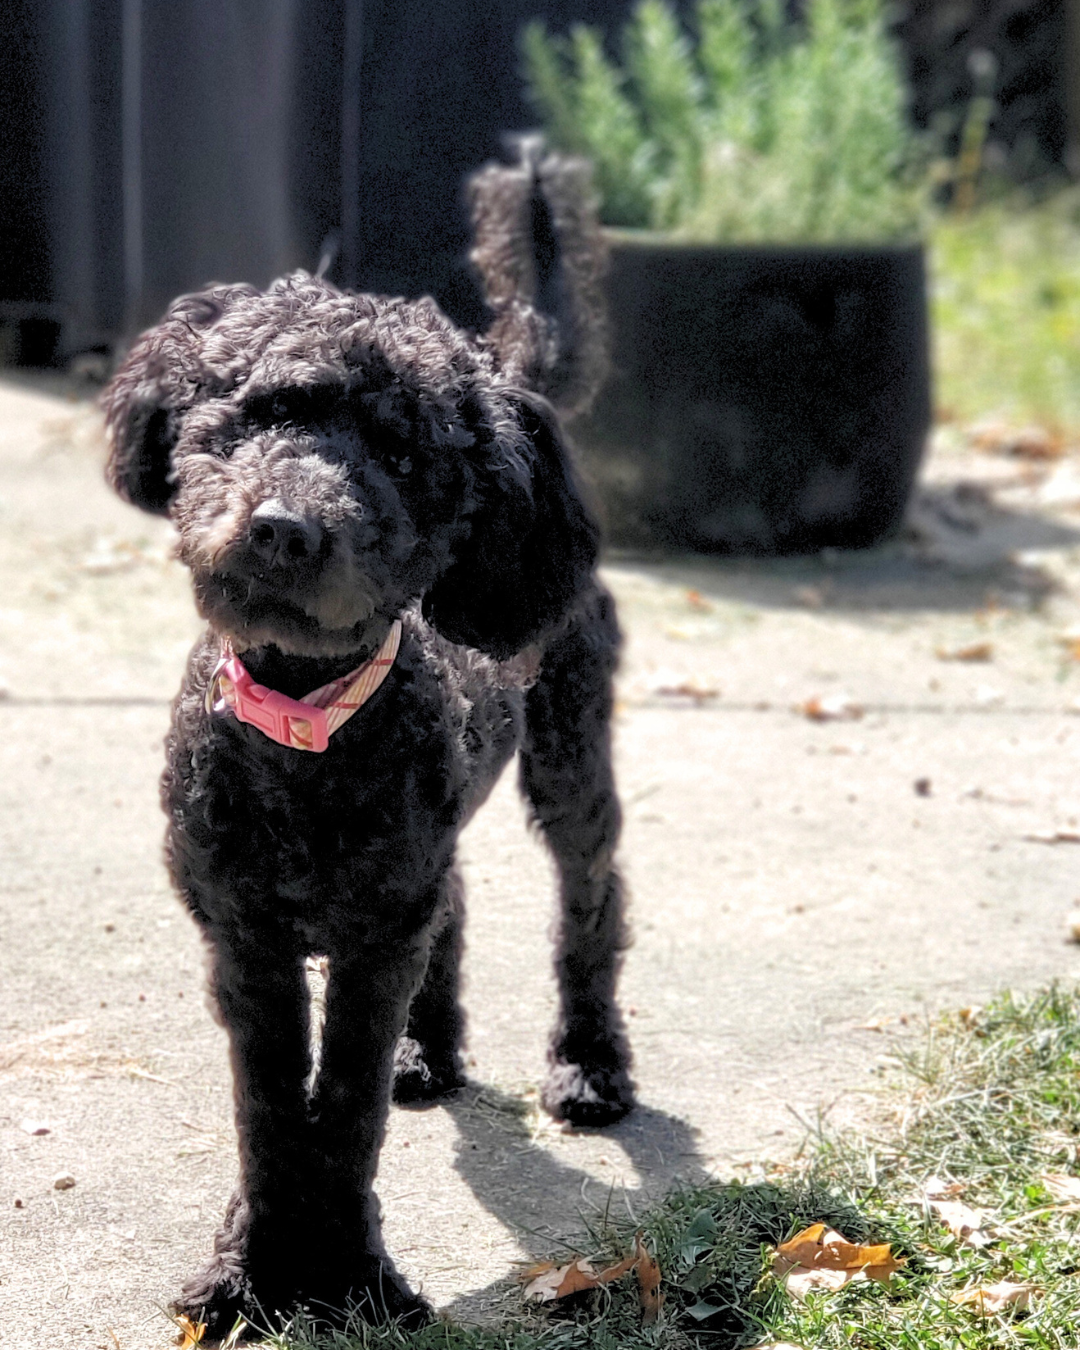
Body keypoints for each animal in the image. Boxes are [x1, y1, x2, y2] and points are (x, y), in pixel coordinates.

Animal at [101, 153, 631, 1333]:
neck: (306, 736)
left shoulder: (373, 938)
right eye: (258, 413)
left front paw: (344, 1277)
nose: (283, 528)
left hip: (571, 756)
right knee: (461, 903)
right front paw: (254, 1273)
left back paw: (590, 1067)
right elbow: (268, 1114)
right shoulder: (249, 939)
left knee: (593, 900)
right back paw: (430, 1053)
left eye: (399, 451)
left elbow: (340, 1115)